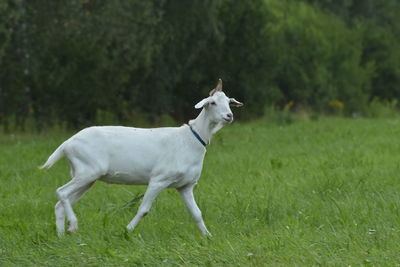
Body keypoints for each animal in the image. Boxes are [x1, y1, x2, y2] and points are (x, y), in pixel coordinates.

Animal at [40, 79, 242, 237]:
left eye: (229, 102)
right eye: (212, 102)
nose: (229, 116)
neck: (190, 139)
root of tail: (67, 144)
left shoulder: (185, 186)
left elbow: (197, 213)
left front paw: (208, 236)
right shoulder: (159, 179)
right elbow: (144, 209)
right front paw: (127, 230)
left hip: (86, 177)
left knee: (59, 203)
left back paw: (62, 235)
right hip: (87, 171)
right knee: (61, 192)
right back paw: (73, 226)